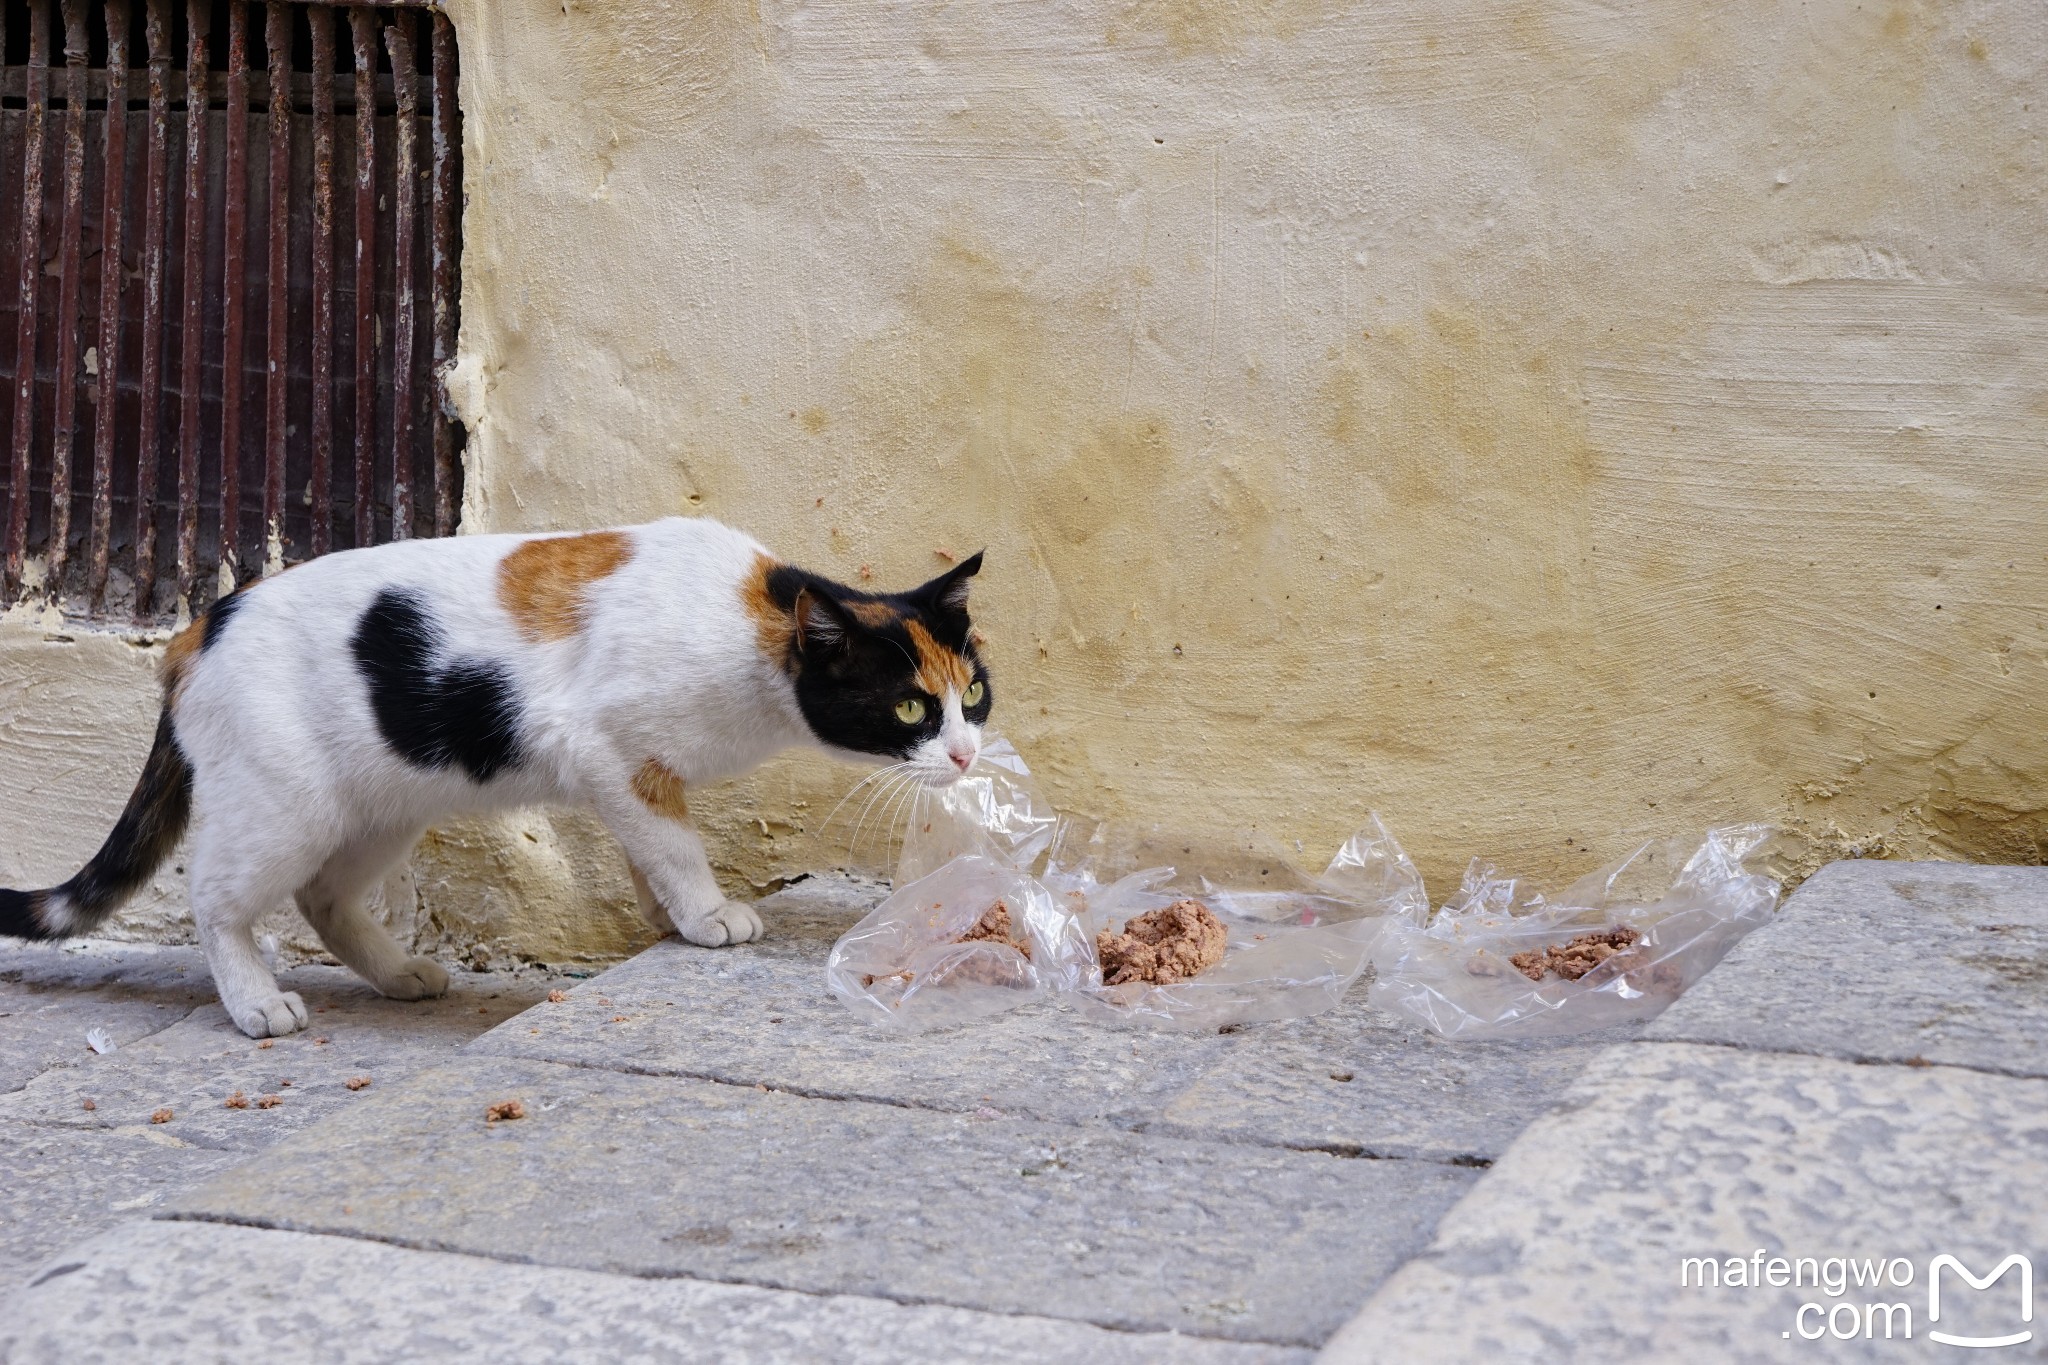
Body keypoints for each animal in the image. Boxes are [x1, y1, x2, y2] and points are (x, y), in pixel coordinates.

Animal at [0, 519, 991, 1035]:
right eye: (912, 708)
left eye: (973, 693)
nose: (967, 755)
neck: (756, 624)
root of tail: (192, 636)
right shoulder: (609, 750)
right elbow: (672, 841)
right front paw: (710, 913)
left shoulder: (635, 771)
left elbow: (650, 848)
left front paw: (664, 919)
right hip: (286, 805)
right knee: (217, 898)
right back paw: (254, 1001)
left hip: (380, 808)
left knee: (325, 896)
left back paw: (398, 972)